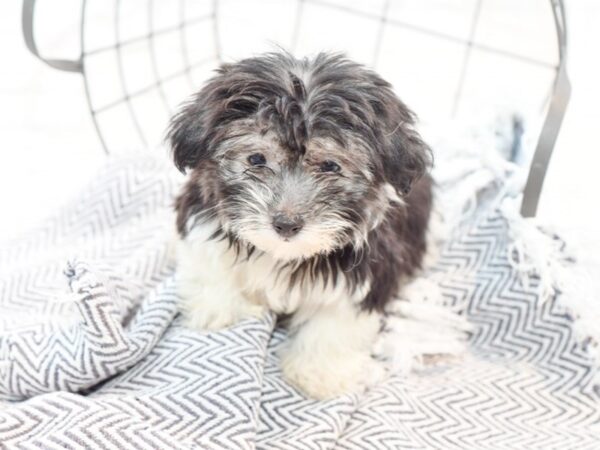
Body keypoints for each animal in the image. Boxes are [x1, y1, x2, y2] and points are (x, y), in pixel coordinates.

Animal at [169, 51, 432, 400]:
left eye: (330, 166)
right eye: (256, 159)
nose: (286, 224)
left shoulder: (366, 272)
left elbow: (335, 323)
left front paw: (321, 372)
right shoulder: (202, 218)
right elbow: (210, 268)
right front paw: (220, 310)